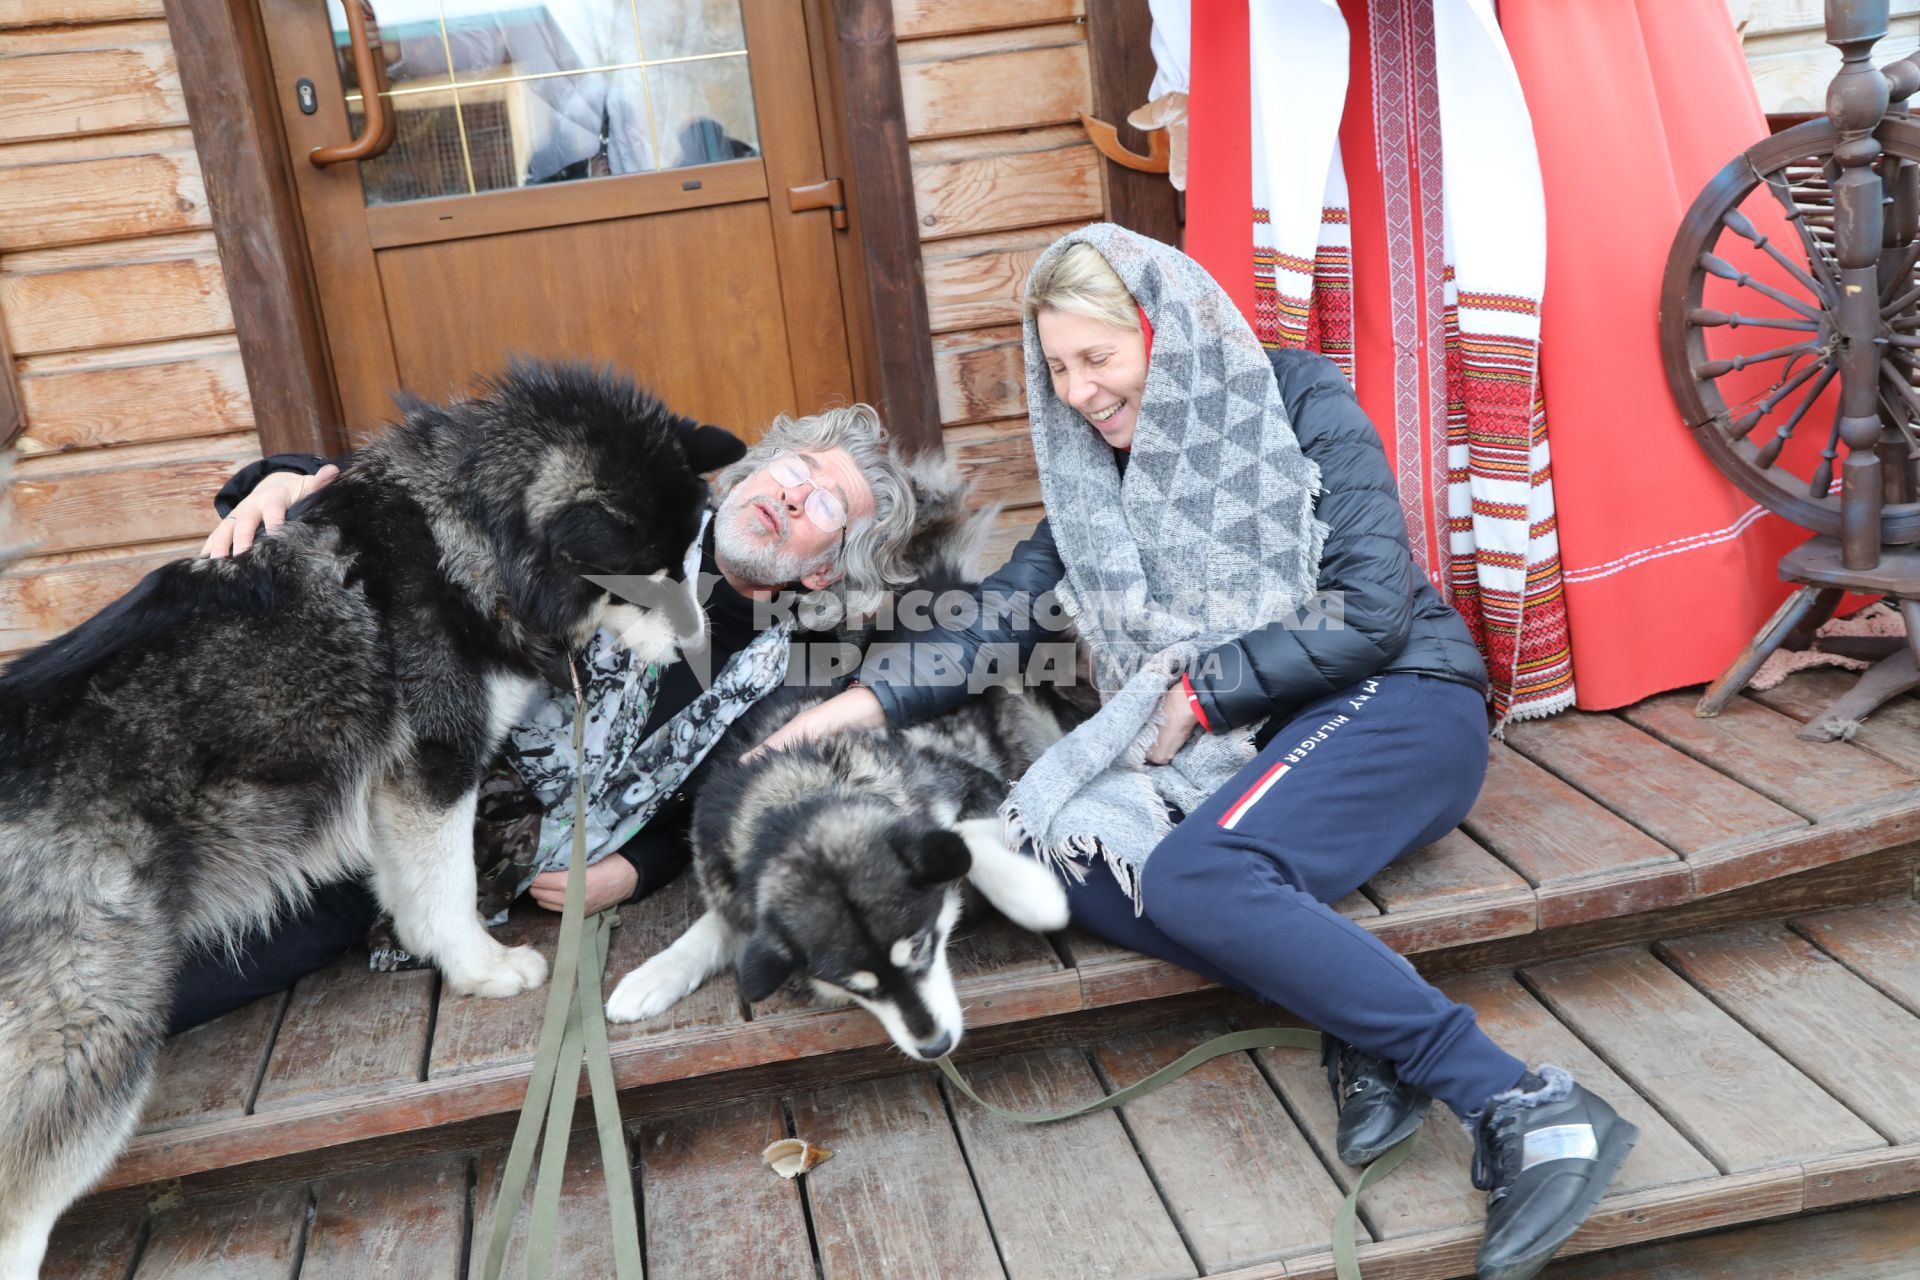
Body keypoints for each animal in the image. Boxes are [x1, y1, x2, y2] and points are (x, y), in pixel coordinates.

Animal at [0, 362, 737, 1280]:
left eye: (691, 560)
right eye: (644, 578)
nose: (701, 643)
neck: (468, 531)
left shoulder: (394, 787)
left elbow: (417, 891)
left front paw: (432, 953)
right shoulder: (436, 765)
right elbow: (449, 886)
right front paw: (485, 970)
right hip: (92, 1032)